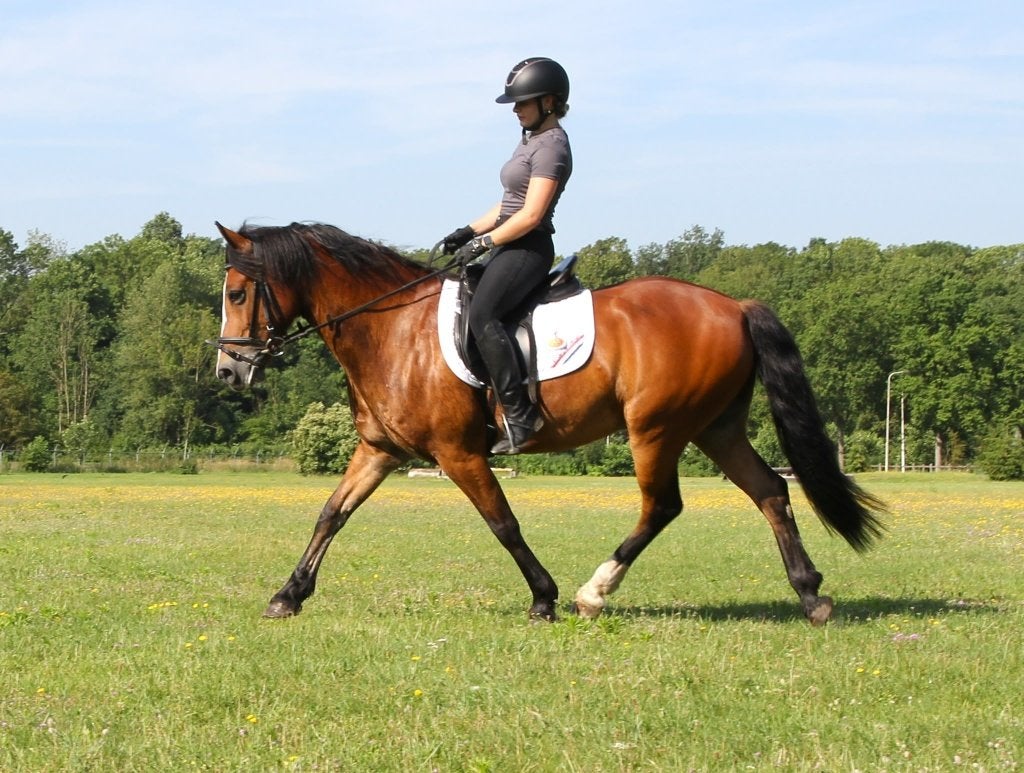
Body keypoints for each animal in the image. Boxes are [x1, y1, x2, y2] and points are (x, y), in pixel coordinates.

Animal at [210, 221, 885, 626]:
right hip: (714, 428)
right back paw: (810, 593)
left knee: (662, 506)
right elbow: (331, 513)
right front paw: (288, 594)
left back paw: (594, 592)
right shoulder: (379, 450)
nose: (227, 369)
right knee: (770, 491)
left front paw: (544, 596)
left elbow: (503, 524)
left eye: (239, 294)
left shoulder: (458, 454)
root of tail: (733, 305)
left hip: (656, 430)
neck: (393, 329)